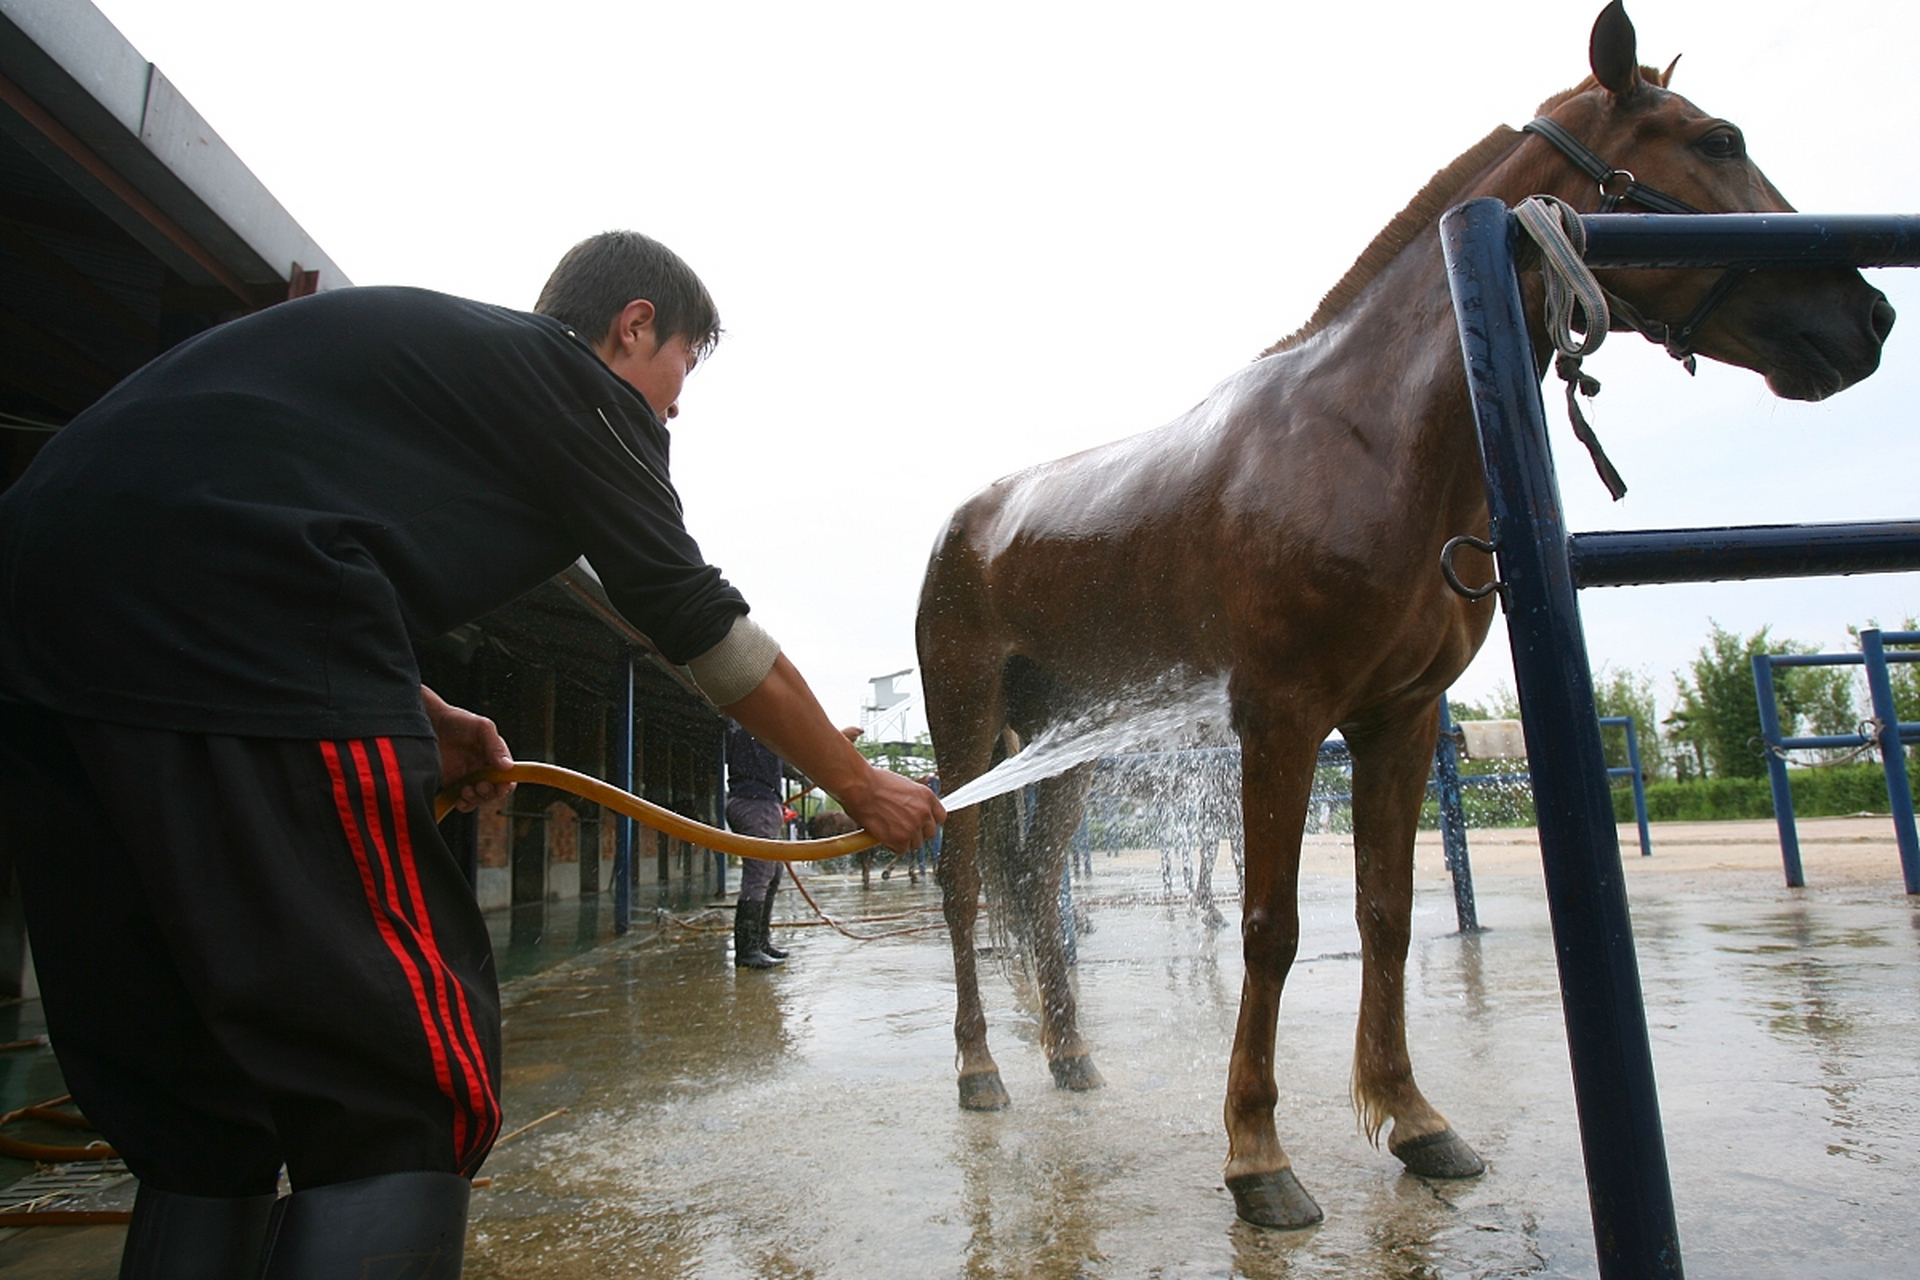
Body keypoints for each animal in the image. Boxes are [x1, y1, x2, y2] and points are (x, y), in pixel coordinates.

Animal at [910, 5, 1889, 1235]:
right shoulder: (1282, 719)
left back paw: (1071, 1059)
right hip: (967, 729)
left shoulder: (1400, 718)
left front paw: (1414, 1120)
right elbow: (1271, 926)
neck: (1369, 438)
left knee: (1041, 895)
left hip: (1068, 744)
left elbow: (1388, 912)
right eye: (1718, 140)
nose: (1870, 316)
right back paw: (980, 1069)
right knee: (963, 888)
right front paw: (1257, 1154)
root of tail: (966, 522)